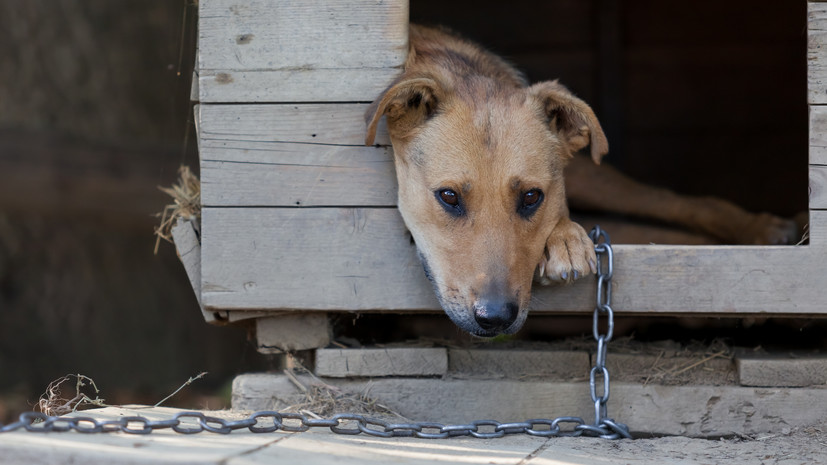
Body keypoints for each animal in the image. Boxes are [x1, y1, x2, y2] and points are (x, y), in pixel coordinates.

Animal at [364, 25, 804, 336]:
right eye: (449, 196)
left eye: (531, 196)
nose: (496, 317)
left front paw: (565, 237)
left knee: (678, 204)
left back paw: (766, 232)